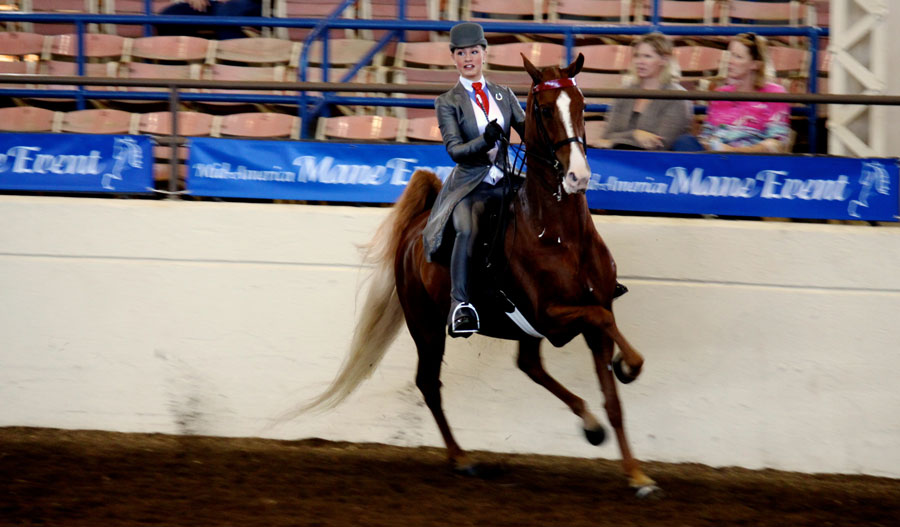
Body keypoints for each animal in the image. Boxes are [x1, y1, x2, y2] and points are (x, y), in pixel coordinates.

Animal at [288, 53, 660, 500]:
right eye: (544, 109)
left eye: (582, 105)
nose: (577, 177)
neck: (561, 235)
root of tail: (417, 227)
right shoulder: (552, 316)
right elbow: (603, 324)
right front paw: (630, 366)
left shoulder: (587, 314)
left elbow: (613, 397)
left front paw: (637, 475)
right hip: (427, 325)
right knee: (429, 383)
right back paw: (461, 458)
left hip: (513, 331)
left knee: (528, 366)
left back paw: (588, 425)